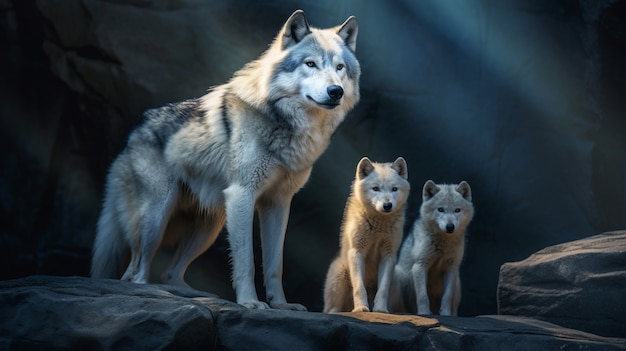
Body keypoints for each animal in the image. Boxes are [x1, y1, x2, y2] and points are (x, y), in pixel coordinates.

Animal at [89, 9, 358, 310]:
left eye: (339, 67)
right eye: (310, 64)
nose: (336, 91)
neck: (288, 126)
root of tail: (135, 132)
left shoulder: (278, 203)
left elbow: (275, 265)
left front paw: (281, 305)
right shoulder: (242, 196)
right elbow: (247, 262)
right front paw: (250, 302)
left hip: (210, 228)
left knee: (169, 273)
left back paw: (193, 296)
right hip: (157, 216)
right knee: (136, 271)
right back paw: (156, 295)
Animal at [322, 157, 410, 314]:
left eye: (394, 189)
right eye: (375, 188)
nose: (387, 205)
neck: (378, 226)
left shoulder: (388, 255)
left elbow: (383, 289)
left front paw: (380, 309)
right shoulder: (357, 252)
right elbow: (359, 287)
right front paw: (361, 308)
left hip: (395, 279)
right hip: (339, 271)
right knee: (331, 309)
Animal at [390, 182, 472, 316]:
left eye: (457, 210)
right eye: (440, 209)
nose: (450, 226)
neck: (443, 243)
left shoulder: (451, 268)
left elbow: (447, 297)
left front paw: (445, 314)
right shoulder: (420, 266)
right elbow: (423, 296)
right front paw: (424, 313)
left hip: (457, 283)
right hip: (398, 276)